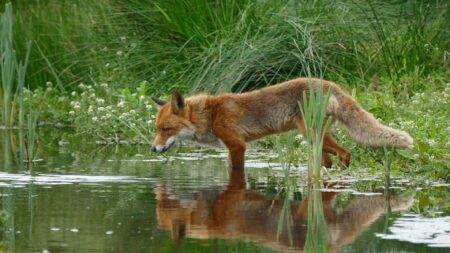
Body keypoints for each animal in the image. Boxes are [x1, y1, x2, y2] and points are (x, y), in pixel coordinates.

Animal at [150, 77, 412, 171]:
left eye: (166, 130)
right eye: (157, 130)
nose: (153, 149)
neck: (211, 115)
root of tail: (330, 84)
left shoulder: (237, 146)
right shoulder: (231, 148)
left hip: (311, 134)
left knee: (346, 152)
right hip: (315, 138)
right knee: (328, 160)